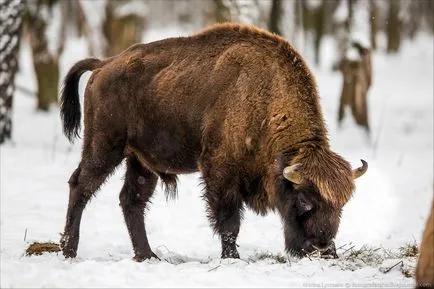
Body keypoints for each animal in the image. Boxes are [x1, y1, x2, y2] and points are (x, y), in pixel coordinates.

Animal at [59, 23, 368, 260]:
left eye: (341, 205)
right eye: (304, 199)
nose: (323, 247)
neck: (264, 100)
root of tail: (103, 65)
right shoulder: (220, 171)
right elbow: (229, 221)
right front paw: (232, 258)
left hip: (140, 161)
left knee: (132, 200)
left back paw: (147, 255)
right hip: (104, 146)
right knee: (80, 186)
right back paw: (69, 250)